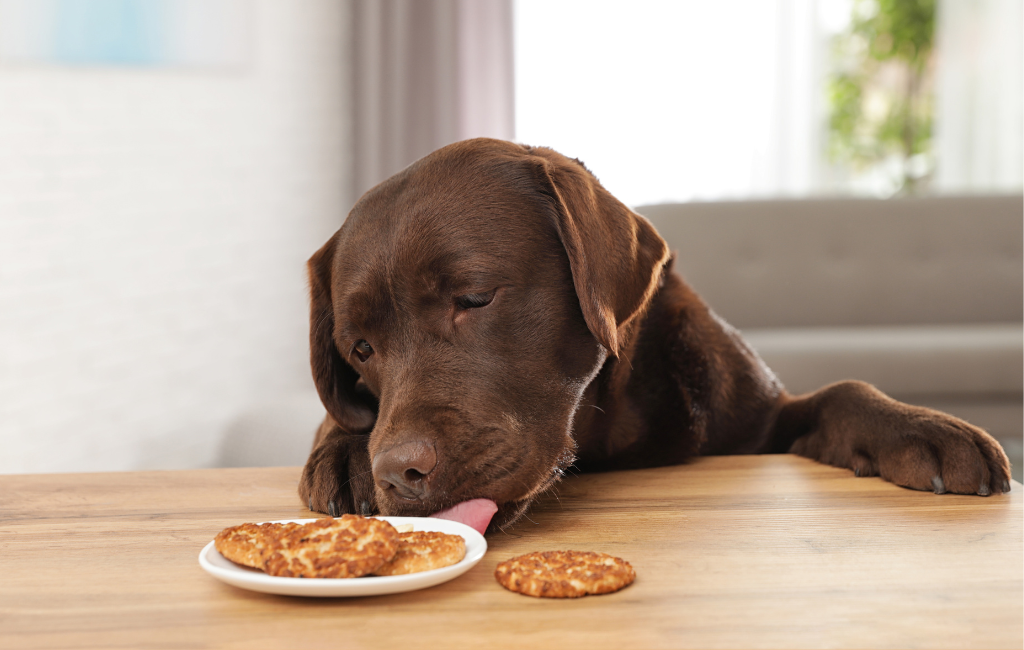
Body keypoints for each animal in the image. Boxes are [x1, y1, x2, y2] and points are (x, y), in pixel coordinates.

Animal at [299, 140, 1015, 532]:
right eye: (360, 350)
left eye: (473, 297)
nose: (399, 472)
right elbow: (339, 418)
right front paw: (347, 452)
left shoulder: (762, 421)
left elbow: (843, 390)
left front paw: (925, 429)